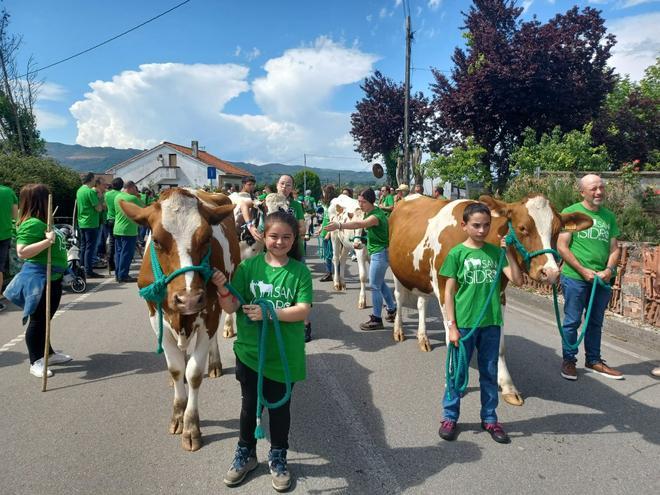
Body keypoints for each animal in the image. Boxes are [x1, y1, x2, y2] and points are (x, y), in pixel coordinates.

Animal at [120, 188, 240, 452]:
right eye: (156, 240)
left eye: (207, 238)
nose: (188, 299)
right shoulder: (155, 317)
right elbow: (176, 369)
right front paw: (177, 414)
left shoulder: (210, 311)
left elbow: (193, 373)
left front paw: (191, 426)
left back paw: (214, 364)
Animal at [386, 194, 592, 406]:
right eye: (523, 227)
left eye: (557, 231)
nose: (550, 272)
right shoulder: (444, 290)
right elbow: (452, 338)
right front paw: (451, 381)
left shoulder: (499, 297)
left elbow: (499, 347)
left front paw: (508, 386)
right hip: (398, 272)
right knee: (399, 299)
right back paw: (399, 331)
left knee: (421, 303)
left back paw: (423, 338)